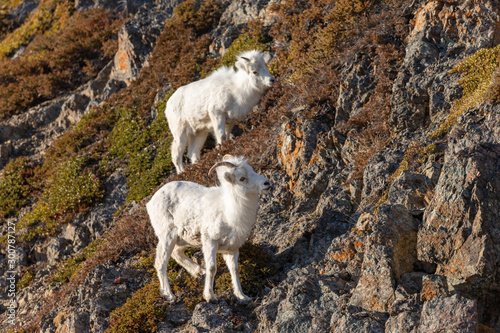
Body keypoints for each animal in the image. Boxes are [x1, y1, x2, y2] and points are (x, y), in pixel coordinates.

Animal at [146, 154, 270, 302]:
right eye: (242, 178)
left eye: (252, 170)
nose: (266, 183)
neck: (228, 211)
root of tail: (151, 202)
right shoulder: (210, 241)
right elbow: (212, 268)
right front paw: (210, 296)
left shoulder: (232, 248)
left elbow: (235, 271)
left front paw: (242, 297)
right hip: (167, 236)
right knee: (161, 263)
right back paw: (169, 295)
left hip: (183, 239)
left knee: (177, 253)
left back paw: (199, 272)